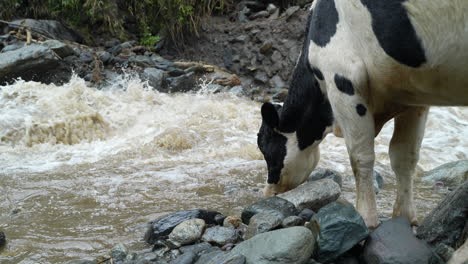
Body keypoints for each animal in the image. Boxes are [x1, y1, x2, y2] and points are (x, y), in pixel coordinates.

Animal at [256, 0, 468, 228]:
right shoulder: (414, 99)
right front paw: (405, 216)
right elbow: (404, 156)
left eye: (266, 148)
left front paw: (366, 218)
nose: (267, 193)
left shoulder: (343, 79)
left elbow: (360, 157)